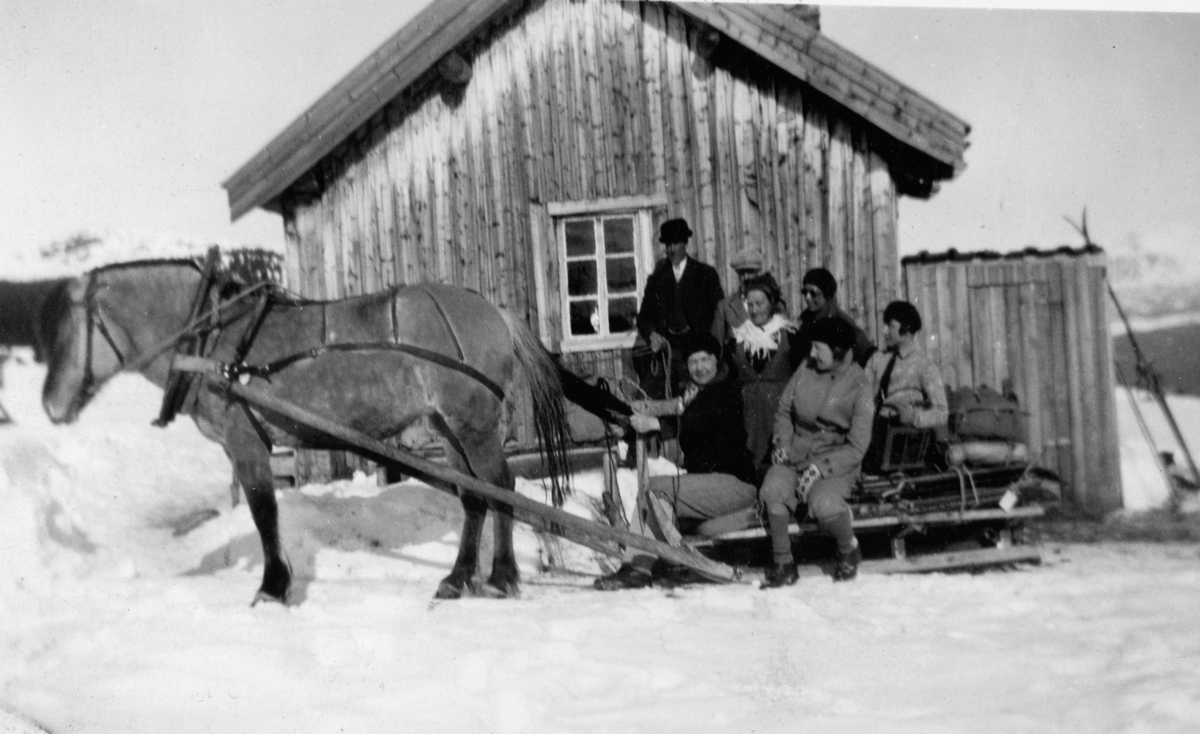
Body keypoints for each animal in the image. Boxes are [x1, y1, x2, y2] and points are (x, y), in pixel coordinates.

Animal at [38, 261, 624, 604]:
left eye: (70, 325)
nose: (48, 405)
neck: (217, 338)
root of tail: (494, 311)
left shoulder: (245, 440)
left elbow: (264, 511)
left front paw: (273, 587)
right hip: (448, 428)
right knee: (474, 498)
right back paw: (458, 578)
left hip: (473, 424)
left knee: (501, 488)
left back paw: (501, 576)